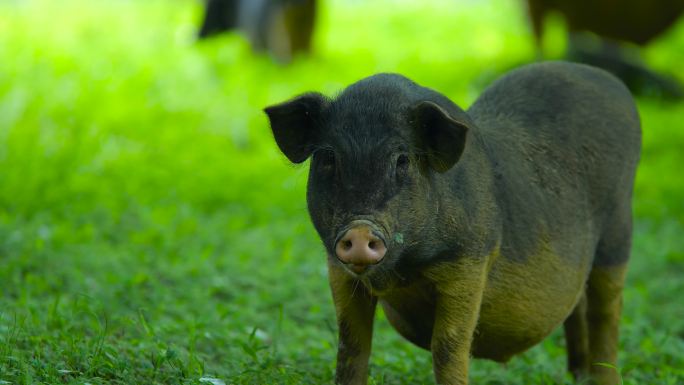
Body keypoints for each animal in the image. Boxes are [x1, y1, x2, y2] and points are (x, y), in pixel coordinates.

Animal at [264, 61, 640, 382]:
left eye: (402, 160)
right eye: (328, 158)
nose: (359, 231)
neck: (403, 270)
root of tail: (611, 82)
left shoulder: (470, 259)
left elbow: (448, 345)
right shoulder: (338, 268)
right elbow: (351, 344)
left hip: (618, 230)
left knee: (607, 312)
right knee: (578, 309)